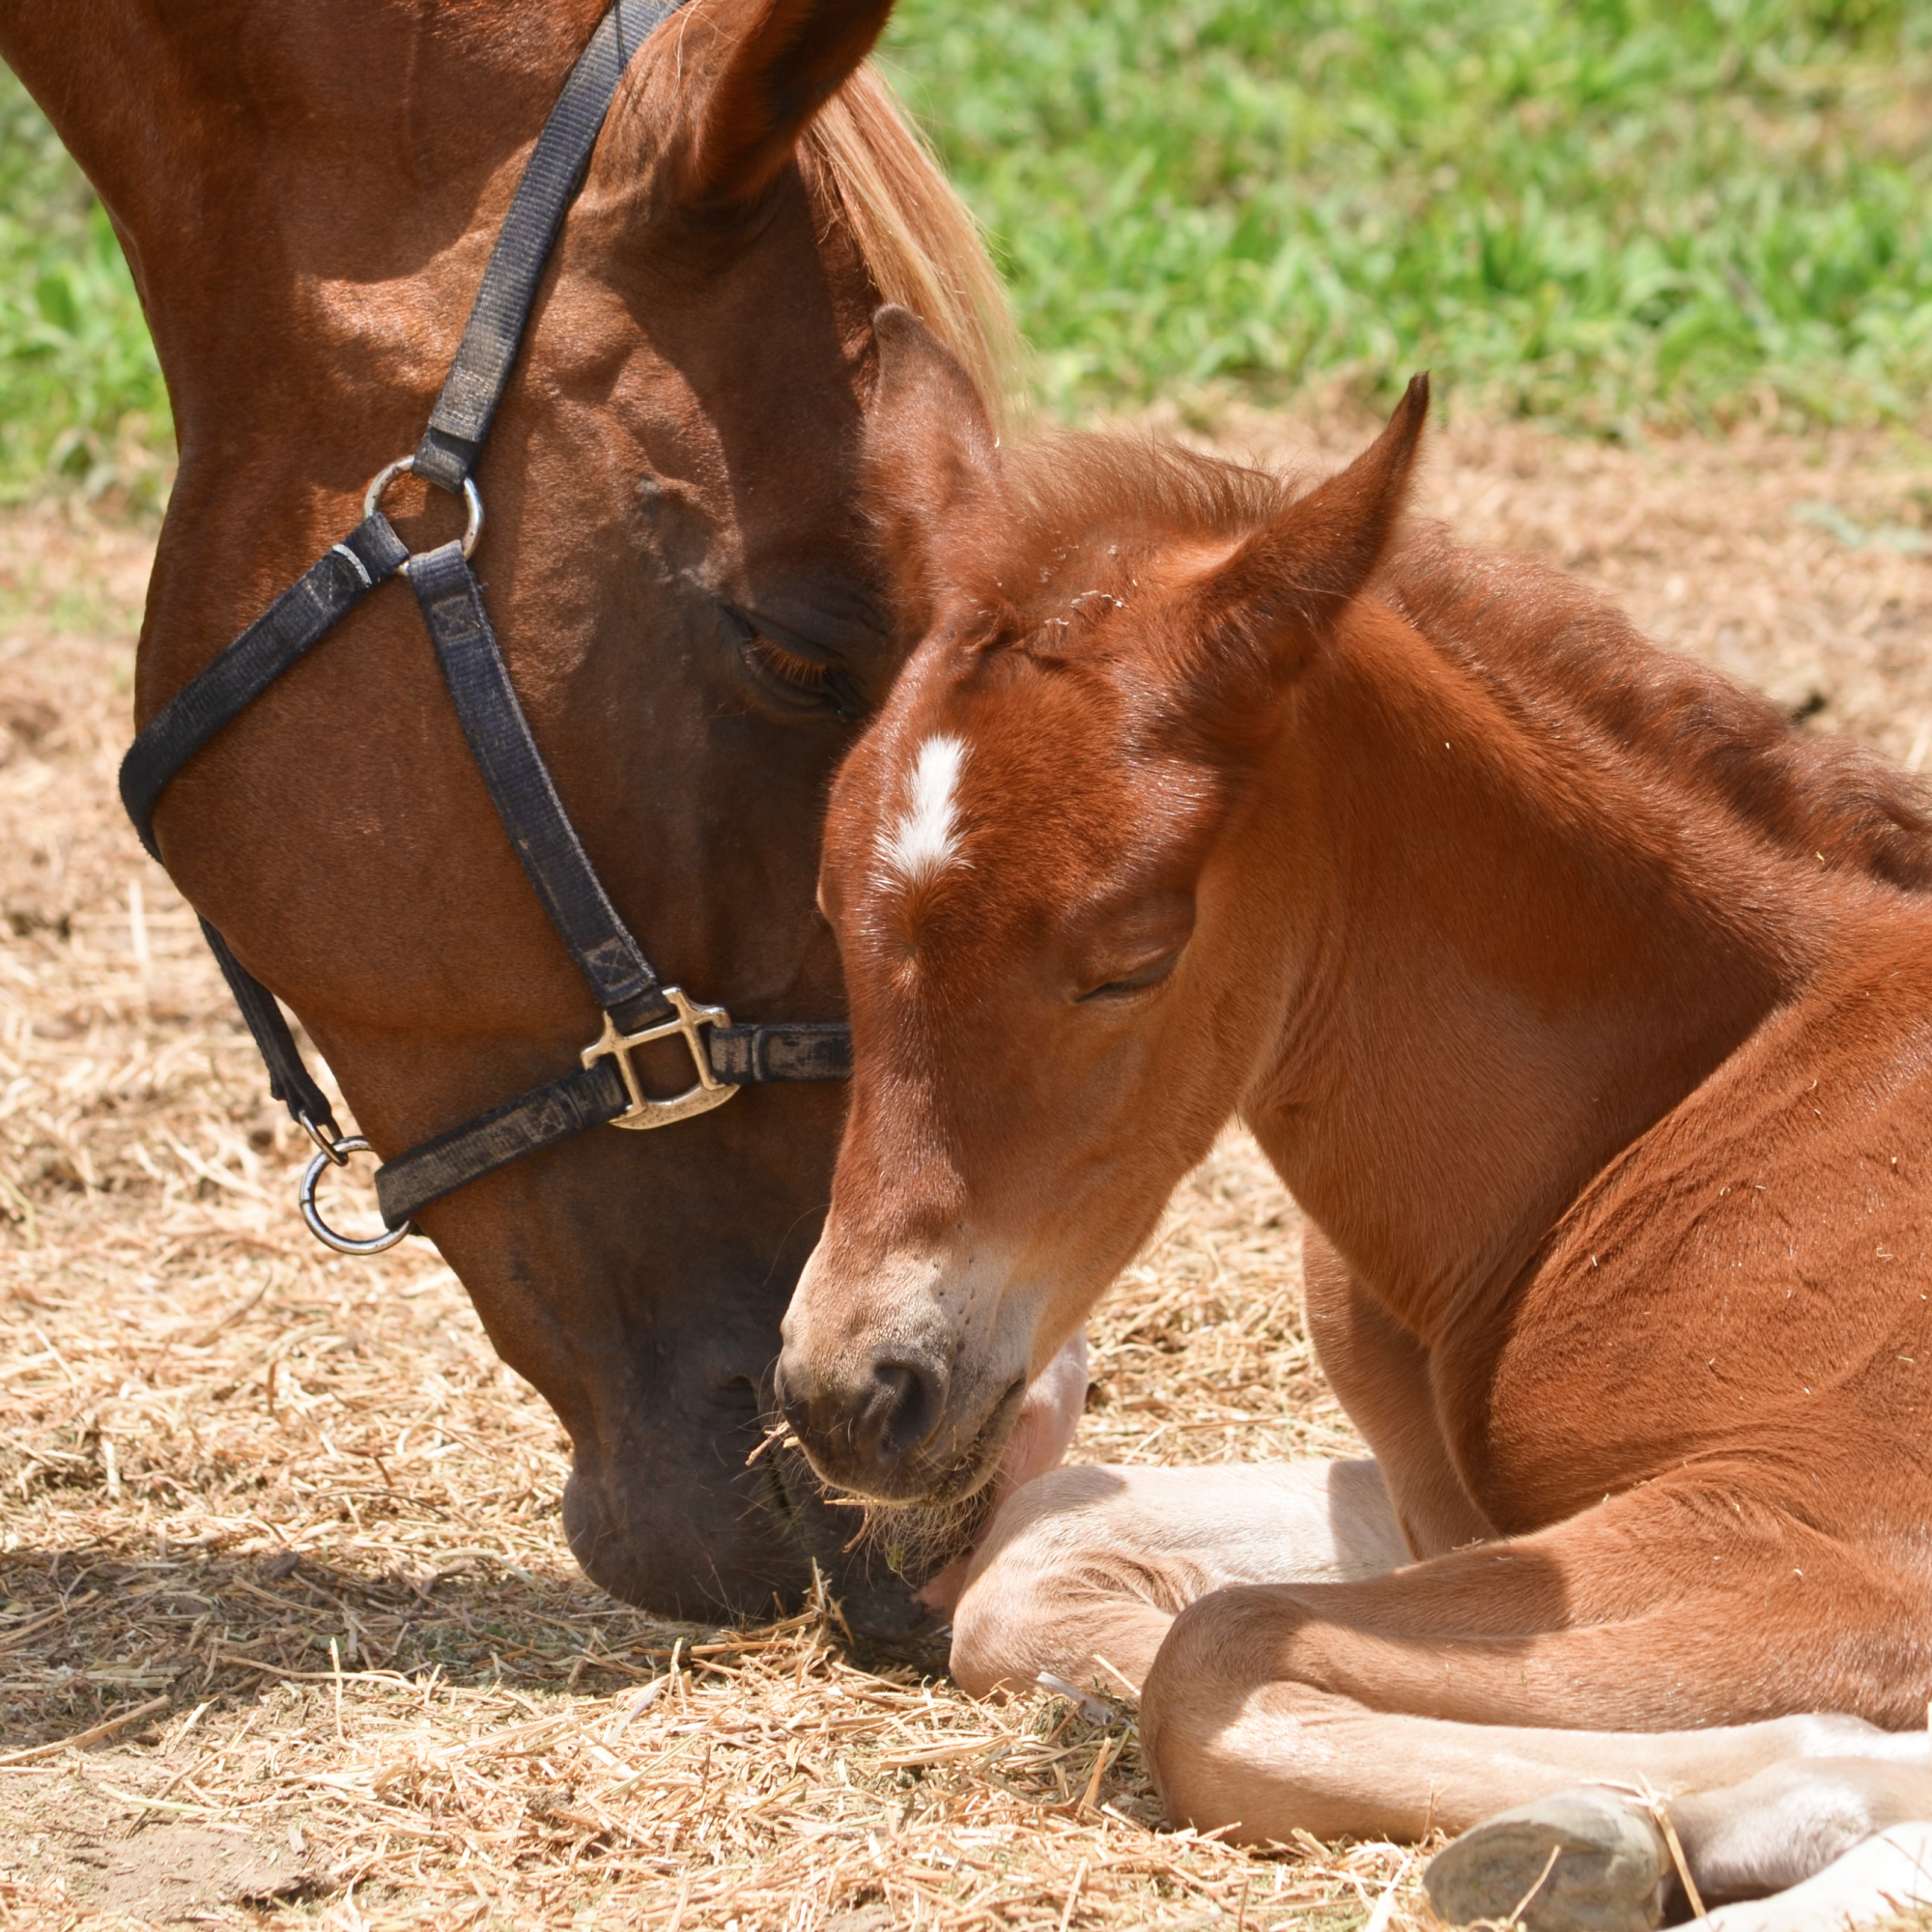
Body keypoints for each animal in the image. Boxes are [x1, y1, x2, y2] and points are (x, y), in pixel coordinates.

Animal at [777, 306, 1932, 1929]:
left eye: (1133, 954)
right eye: (833, 903)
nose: (853, 1393)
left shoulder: (1819, 1533)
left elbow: (1213, 1654)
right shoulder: (1455, 1507)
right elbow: (1054, 1560)